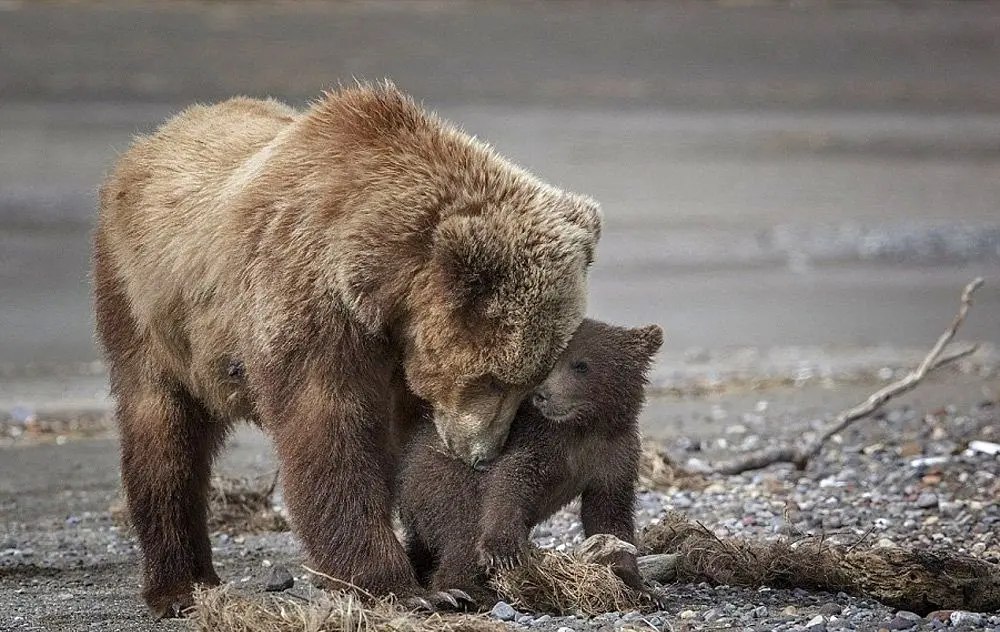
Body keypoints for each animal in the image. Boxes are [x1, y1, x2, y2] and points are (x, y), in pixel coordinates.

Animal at [95, 82, 600, 616]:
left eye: (532, 381)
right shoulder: (308, 301)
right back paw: (179, 586)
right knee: (163, 432)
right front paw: (402, 587)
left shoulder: (400, 357)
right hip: (145, 305)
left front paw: (444, 572)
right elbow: (330, 433)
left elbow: (413, 456)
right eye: (494, 379)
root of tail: (153, 139)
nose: (483, 455)